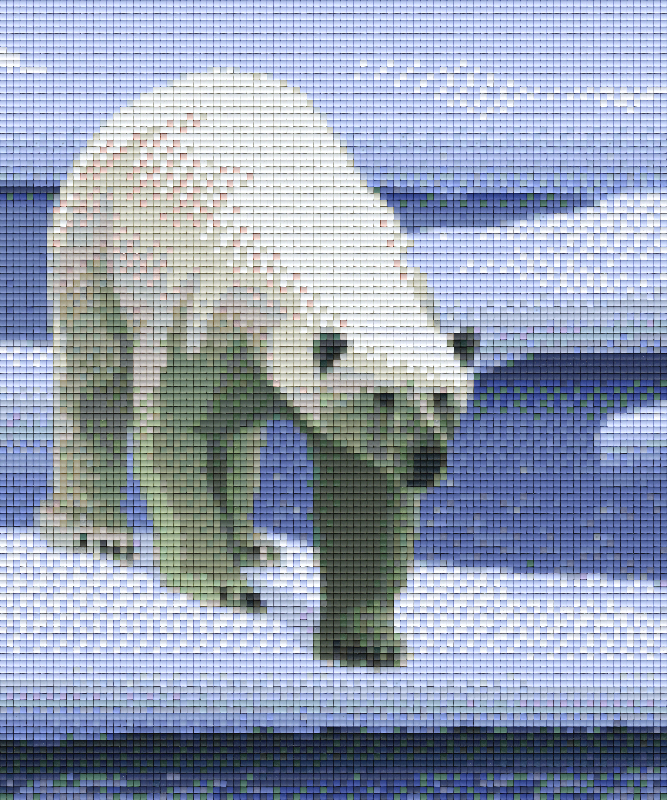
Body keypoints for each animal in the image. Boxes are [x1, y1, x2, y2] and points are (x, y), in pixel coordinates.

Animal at [36, 68, 476, 668]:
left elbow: (364, 489)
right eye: (383, 396)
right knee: (95, 378)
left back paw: (251, 542)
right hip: (91, 242)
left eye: (443, 397)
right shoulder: (198, 311)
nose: (427, 459)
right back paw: (95, 532)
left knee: (237, 433)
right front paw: (222, 588)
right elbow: (172, 432)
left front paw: (365, 641)